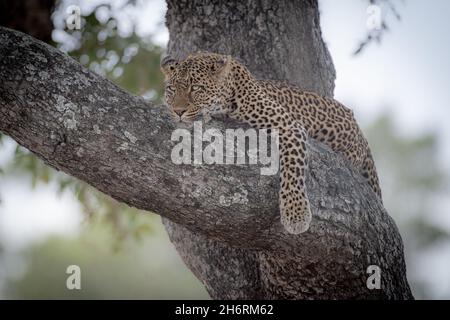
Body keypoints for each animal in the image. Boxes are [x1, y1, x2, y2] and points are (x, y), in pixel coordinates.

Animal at [160, 51, 382, 234]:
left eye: (195, 88)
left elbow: (293, 168)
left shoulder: (289, 126)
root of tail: (360, 132)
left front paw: (296, 214)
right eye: (171, 89)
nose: (178, 112)